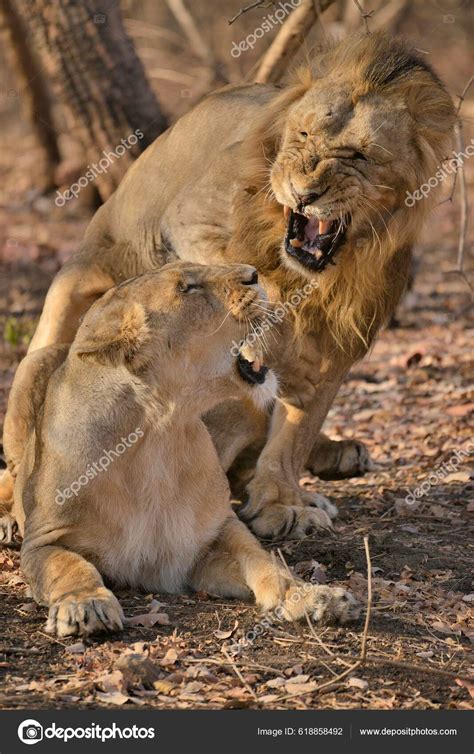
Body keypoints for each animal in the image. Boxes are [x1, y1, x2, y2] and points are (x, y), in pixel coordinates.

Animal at [2, 262, 359, 637]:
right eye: (187, 288)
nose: (254, 274)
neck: (160, 435)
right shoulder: (44, 540)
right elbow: (69, 565)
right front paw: (86, 604)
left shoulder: (212, 534)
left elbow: (265, 562)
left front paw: (314, 597)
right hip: (31, 365)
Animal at [4, 32, 455, 541]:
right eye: (303, 136)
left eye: (359, 156)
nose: (306, 193)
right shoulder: (187, 221)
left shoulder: (336, 345)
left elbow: (296, 432)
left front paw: (283, 501)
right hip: (55, 328)